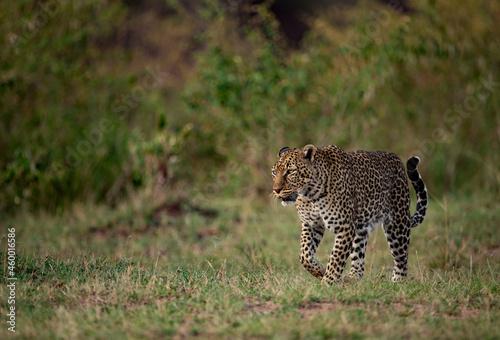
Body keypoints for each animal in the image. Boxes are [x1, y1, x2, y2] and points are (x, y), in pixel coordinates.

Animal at [272, 144, 428, 284]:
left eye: (290, 171)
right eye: (274, 172)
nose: (276, 190)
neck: (310, 195)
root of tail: (396, 159)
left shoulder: (344, 228)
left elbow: (336, 258)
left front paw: (327, 282)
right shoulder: (311, 224)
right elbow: (304, 255)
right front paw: (321, 271)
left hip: (396, 224)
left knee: (402, 258)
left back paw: (397, 282)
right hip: (361, 228)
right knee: (359, 258)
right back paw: (352, 278)